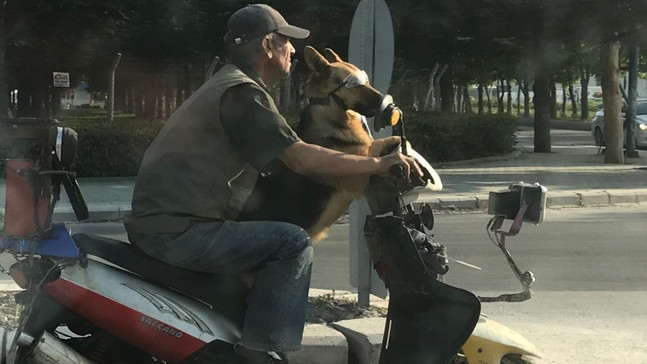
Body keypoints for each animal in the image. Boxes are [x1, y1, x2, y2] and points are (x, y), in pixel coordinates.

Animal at [238, 47, 400, 243]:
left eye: (366, 80)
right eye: (353, 84)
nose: (389, 102)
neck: (334, 117)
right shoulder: (358, 173)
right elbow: (377, 147)